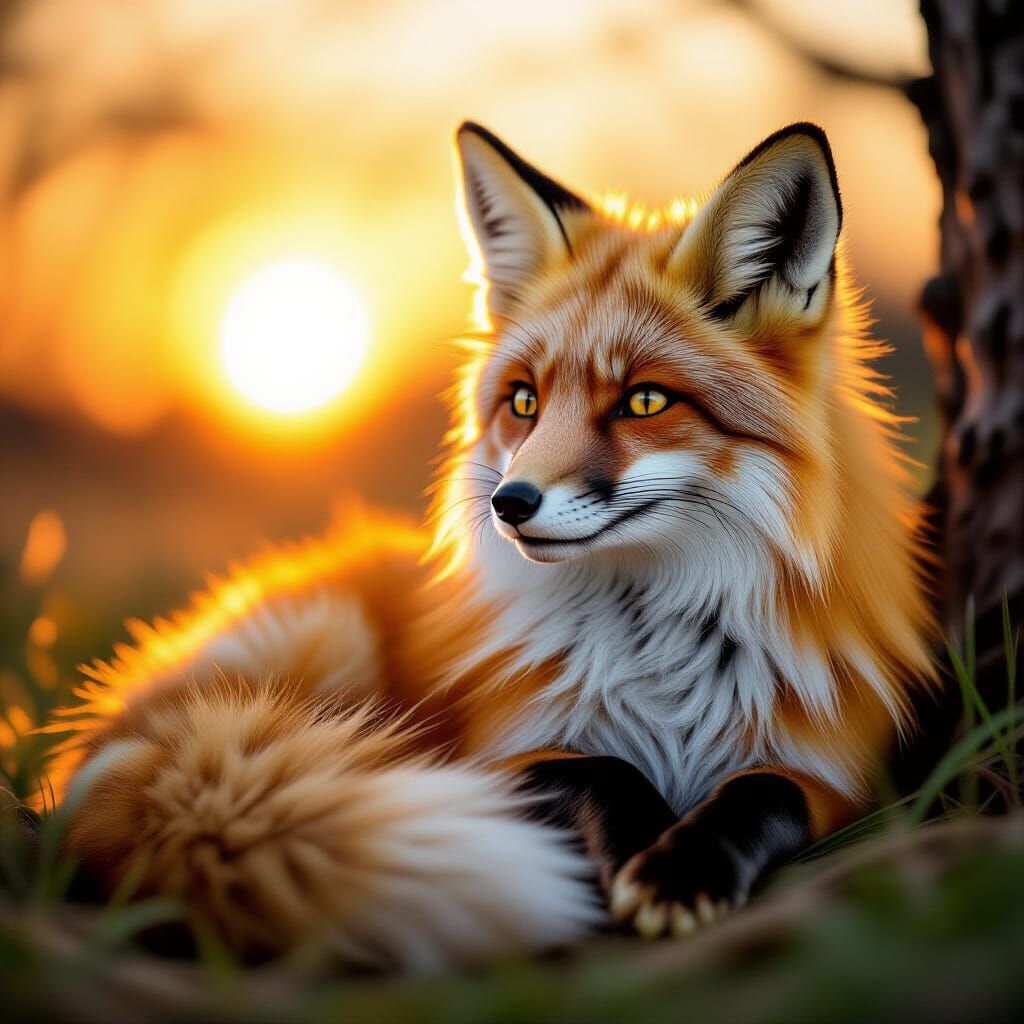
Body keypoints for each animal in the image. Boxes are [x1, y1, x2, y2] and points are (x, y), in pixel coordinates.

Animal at [47, 121, 935, 971]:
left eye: (645, 401)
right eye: (524, 401)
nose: (511, 504)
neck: (661, 659)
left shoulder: (837, 771)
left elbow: (762, 796)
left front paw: (681, 869)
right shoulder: (500, 751)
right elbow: (603, 770)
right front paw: (639, 849)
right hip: (331, 647)